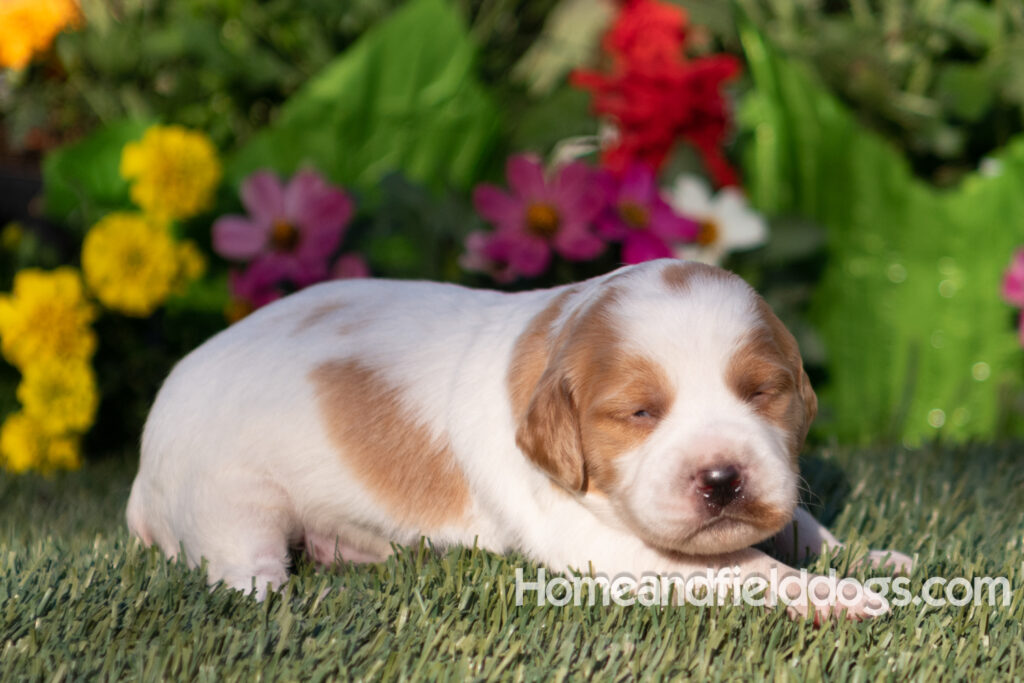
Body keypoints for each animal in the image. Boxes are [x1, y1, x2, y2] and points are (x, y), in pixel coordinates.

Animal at [130, 258, 913, 618]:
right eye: (640, 413)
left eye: (760, 393)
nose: (723, 479)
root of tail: (141, 473)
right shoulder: (606, 547)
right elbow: (747, 566)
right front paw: (837, 596)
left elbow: (797, 525)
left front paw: (871, 557)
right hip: (232, 503)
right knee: (242, 571)